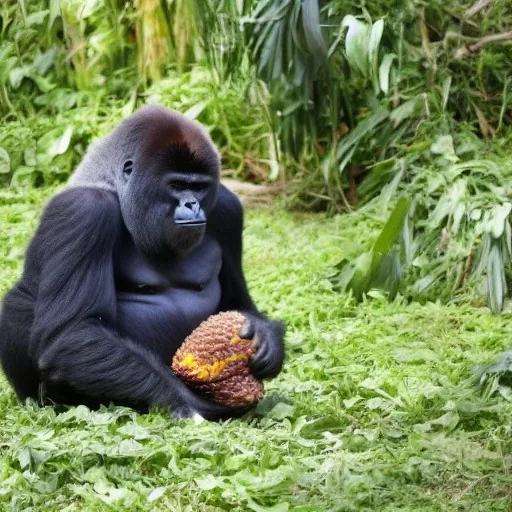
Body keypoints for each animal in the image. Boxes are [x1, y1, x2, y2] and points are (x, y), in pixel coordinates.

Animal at [0, 104, 284, 420]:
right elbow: (71, 333)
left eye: (199, 187)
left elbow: (237, 304)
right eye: (177, 185)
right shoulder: (86, 209)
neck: (116, 184)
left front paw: (267, 337)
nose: (192, 205)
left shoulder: (227, 208)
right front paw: (185, 401)